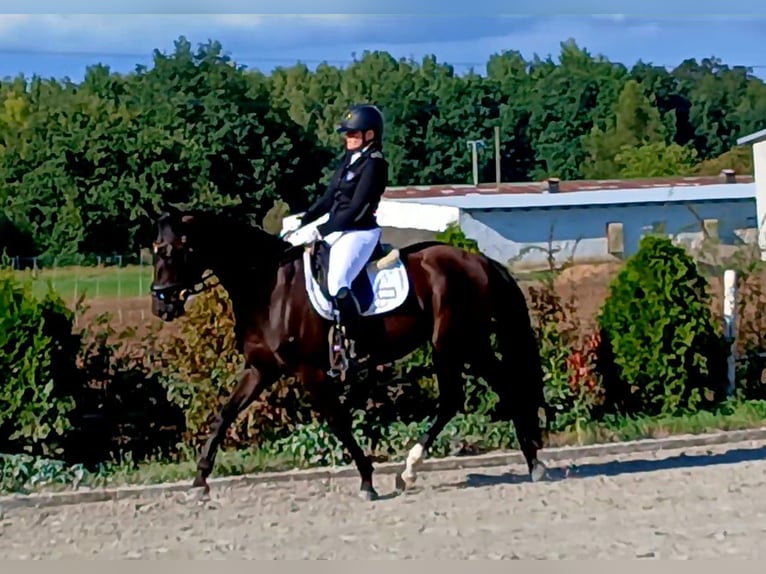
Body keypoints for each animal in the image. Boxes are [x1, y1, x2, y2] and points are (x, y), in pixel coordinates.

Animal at [149, 206, 549, 501]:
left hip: (450, 342)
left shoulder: (309, 371)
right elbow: (225, 414)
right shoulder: (261, 369)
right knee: (502, 386)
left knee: (453, 398)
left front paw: (367, 480)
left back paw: (409, 470)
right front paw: (199, 482)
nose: (161, 305)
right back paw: (532, 462)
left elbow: (338, 422)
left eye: (172, 251)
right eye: (154, 251)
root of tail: (480, 262)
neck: (268, 286)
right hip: (471, 343)